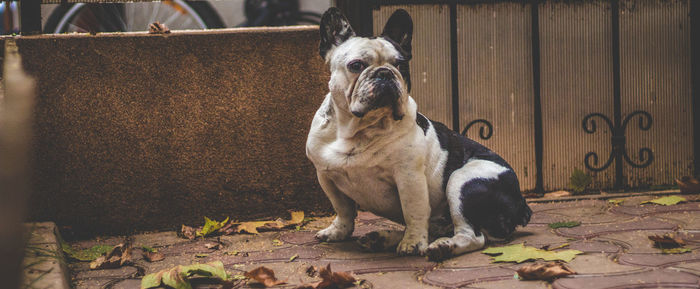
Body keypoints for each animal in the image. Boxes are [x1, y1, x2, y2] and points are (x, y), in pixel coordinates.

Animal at [306, 6, 532, 260]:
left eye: (401, 66)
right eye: (356, 65)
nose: (385, 73)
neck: (360, 130)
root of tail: (521, 201)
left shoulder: (409, 177)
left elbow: (414, 211)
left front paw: (413, 243)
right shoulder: (326, 175)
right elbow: (342, 208)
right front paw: (339, 231)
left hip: (462, 181)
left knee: (473, 236)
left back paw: (443, 246)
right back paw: (383, 238)